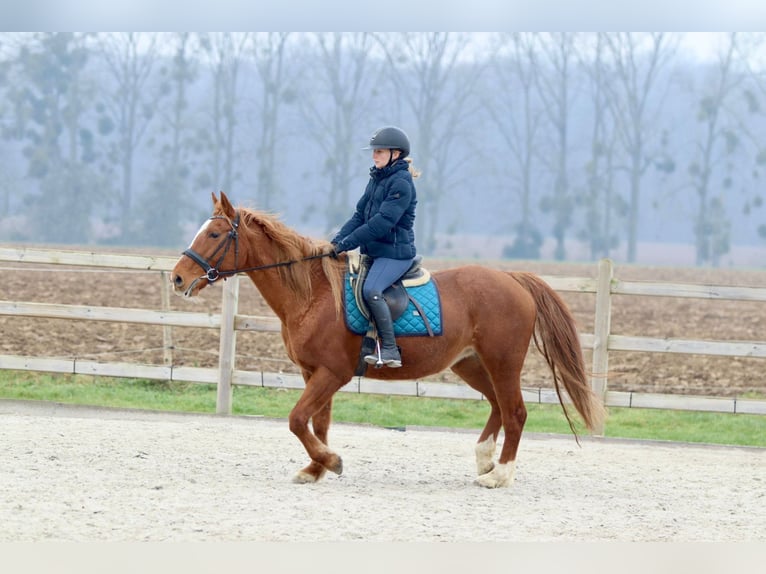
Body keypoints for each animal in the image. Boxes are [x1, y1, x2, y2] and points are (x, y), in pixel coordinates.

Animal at [171, 192, 605, 488]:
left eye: (214, 233)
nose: (176, 277)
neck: (313, 294)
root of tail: (513, 279)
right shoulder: (314, 373)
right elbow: (317, 422)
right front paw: (316, 468)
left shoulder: (333, 373)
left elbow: (297, 419)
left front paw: (330, 461)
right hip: (469, 363)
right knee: (498, 405)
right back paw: (485, 459)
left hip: (503, 362)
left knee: (515, 412)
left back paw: (498, 475)